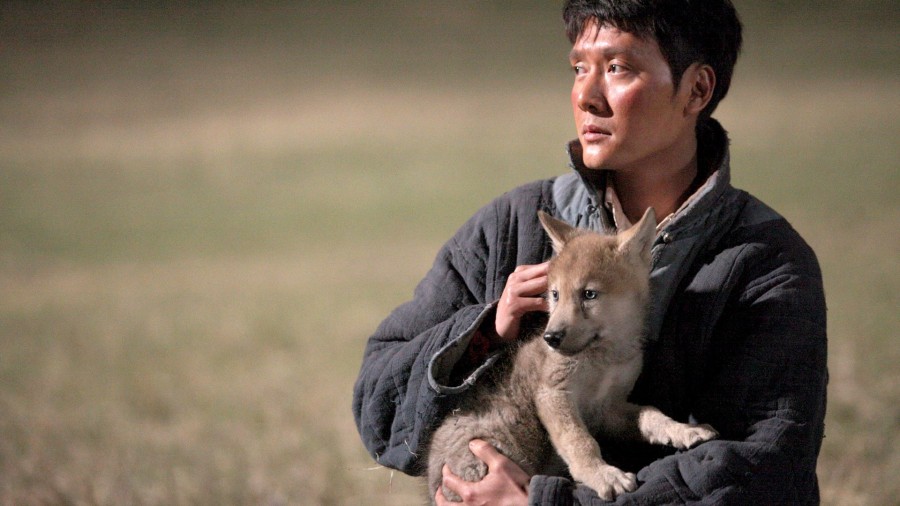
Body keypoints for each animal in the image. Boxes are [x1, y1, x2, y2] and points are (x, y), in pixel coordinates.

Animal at [427, 208, 718, 502]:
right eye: (555, 294)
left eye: (589, 294)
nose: (551, 338)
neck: (604, 358)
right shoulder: (554, 394)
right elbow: (579, 441)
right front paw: (604, 476)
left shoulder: (608, 408)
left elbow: (651, 413)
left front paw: (684, 430)